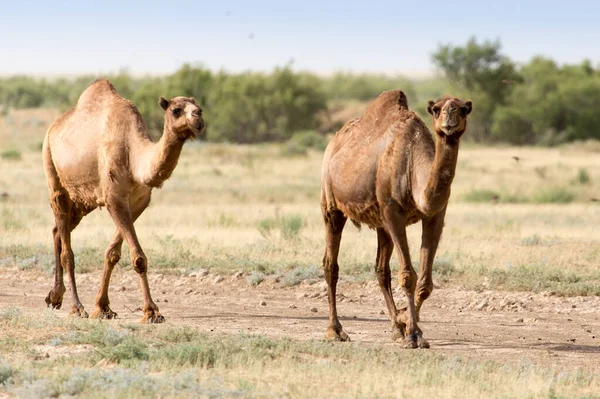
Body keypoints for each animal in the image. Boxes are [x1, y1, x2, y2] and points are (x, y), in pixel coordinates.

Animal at [42, 79, 204, 324]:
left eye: (199, 108)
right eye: (176, 110)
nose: (198, 118)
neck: (134, 156)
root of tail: (52, 129)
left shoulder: (138, 202)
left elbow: (112, 253)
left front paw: (103, 307)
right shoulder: (114, 198)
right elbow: (138, 257)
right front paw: (151, 312)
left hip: (82, 202)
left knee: (57, 231)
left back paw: (54, 297)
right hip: (54, 176)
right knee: (66, 251)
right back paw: (77, 307)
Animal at [322, 90, 472, 346]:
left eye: (463, 109)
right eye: (437, 109)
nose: (449, 119)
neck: (413, 166)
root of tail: (333, 143)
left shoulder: (435, 215)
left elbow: (425, 282)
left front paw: (404, 321)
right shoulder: (392, 212)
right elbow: (409, 275)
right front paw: (413, 333)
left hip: (380, 222)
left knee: (381, 270)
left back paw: (394, 326)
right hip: (331, 204)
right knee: (331, 264)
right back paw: (336, 331)